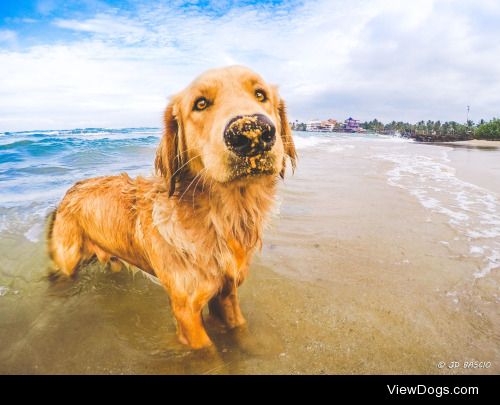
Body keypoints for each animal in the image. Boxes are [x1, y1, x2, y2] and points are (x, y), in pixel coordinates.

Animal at [46, 65, 294, 348]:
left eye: (260, 94)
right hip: (68, 259)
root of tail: (70, 190)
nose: (252, 132)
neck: (219, 218)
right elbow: (208, 352)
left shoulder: (227, 293)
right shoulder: (187, 312)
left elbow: (239, 327)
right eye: (200, 103)